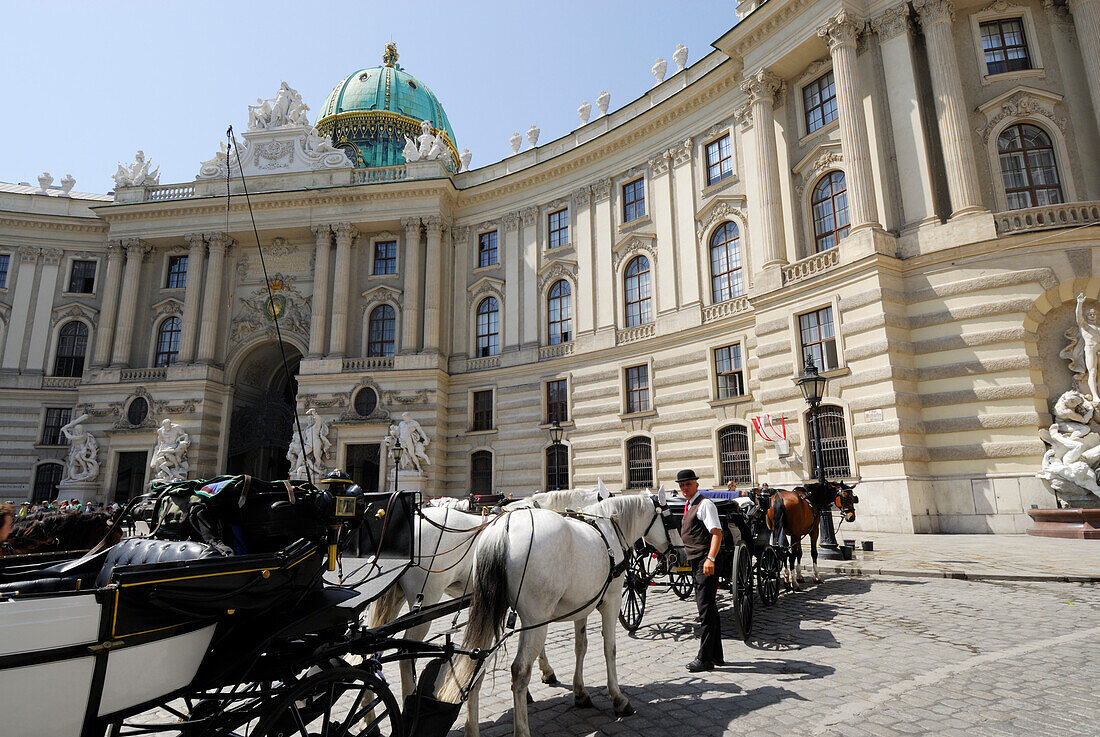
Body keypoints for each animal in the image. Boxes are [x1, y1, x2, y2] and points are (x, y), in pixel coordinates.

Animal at [437, 490, 677, 737]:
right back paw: (522, 729)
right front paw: (618, 699)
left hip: (491, 611)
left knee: (475, 663)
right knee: (519, 671)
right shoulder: (611, 601)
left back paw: (472, 727)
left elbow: (581, 647)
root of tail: (502, 530)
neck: (607, 529)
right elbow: (609, 648)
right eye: (671, 520)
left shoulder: (583, 605)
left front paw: (580, 692)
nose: (678, 553)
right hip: (535, 618)